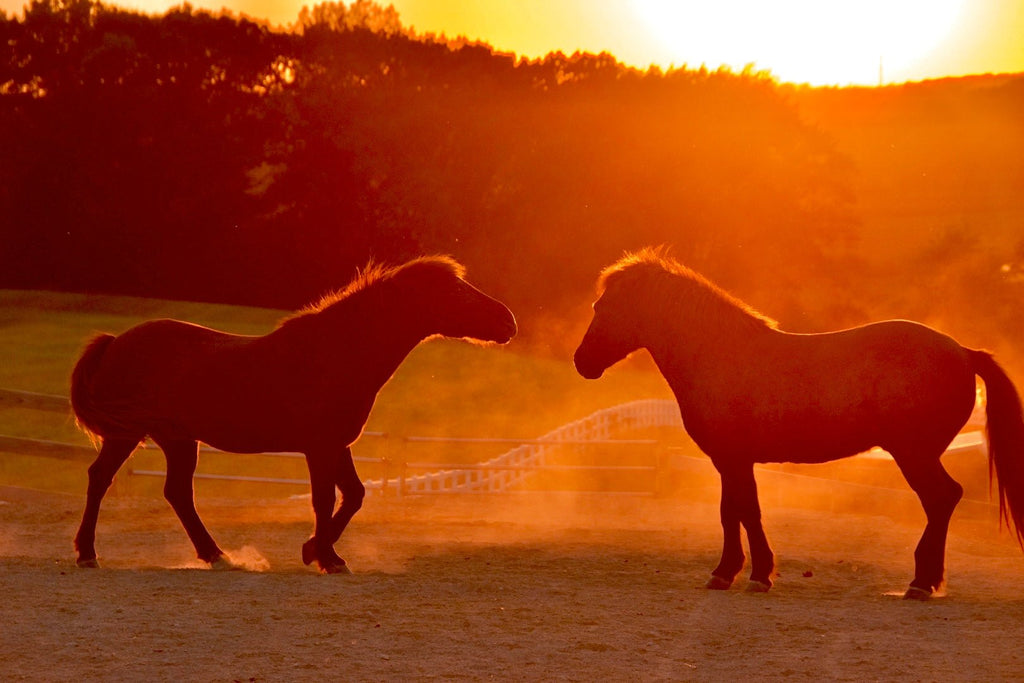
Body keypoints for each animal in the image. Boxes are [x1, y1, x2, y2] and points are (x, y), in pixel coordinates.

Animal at [72, 254, 516, 573]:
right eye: (454, 290)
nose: (507, 320)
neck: (333, 352)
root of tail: (114, 342)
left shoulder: (337, 445)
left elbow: (354, 495)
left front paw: (314, 550)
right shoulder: (319, 448)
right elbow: (325, 500)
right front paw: (327, 557)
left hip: (177, 440)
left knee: (176, 494)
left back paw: (216, 555)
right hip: (129, 434)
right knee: (101, 480)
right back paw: (87, 553)